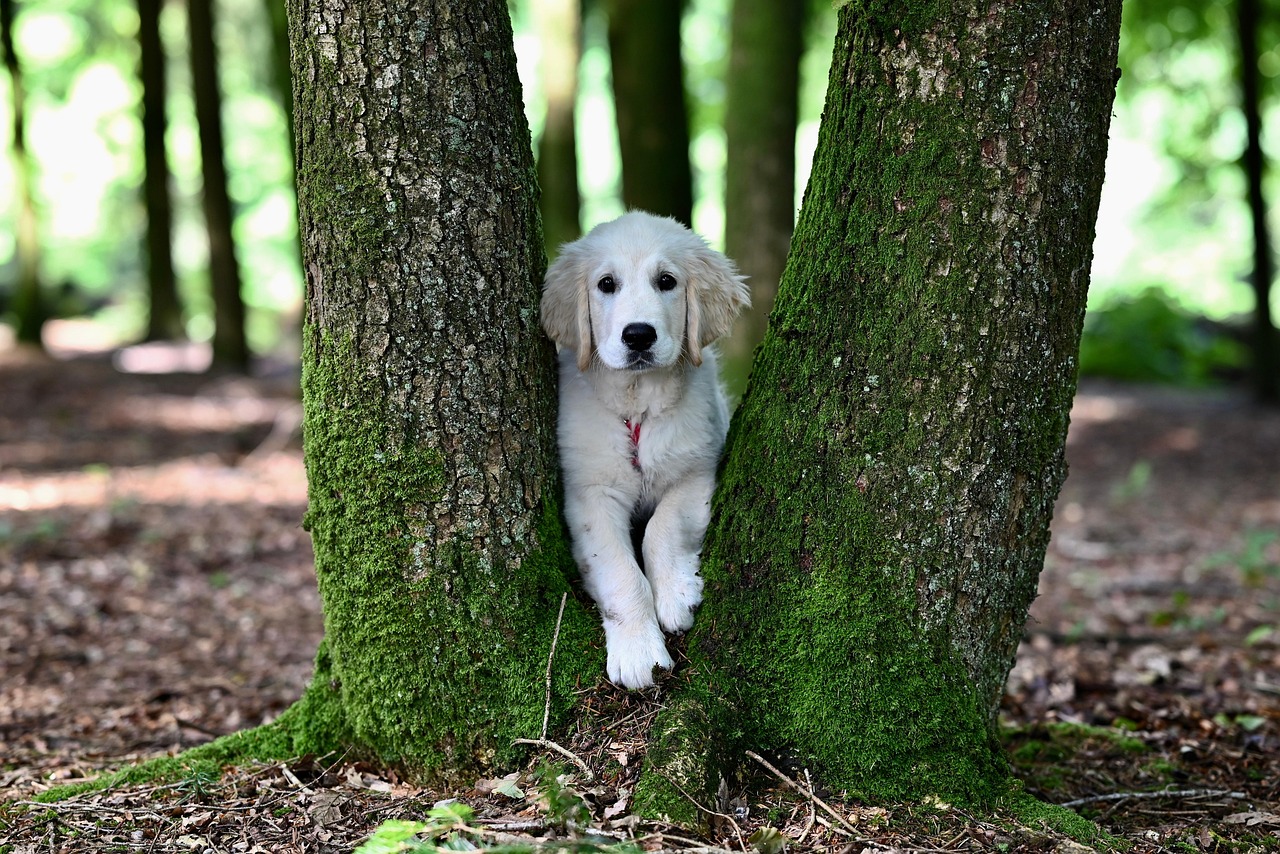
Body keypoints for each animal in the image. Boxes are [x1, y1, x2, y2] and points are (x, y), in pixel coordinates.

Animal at [540, 209, 747, 691]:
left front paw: (676, 595)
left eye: (667, 281)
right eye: (606, 284)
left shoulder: (697, 471)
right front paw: (639, 654)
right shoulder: (590, 495)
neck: (638, 406)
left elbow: (662, 529)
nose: (638, 336)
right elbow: (620, 572)